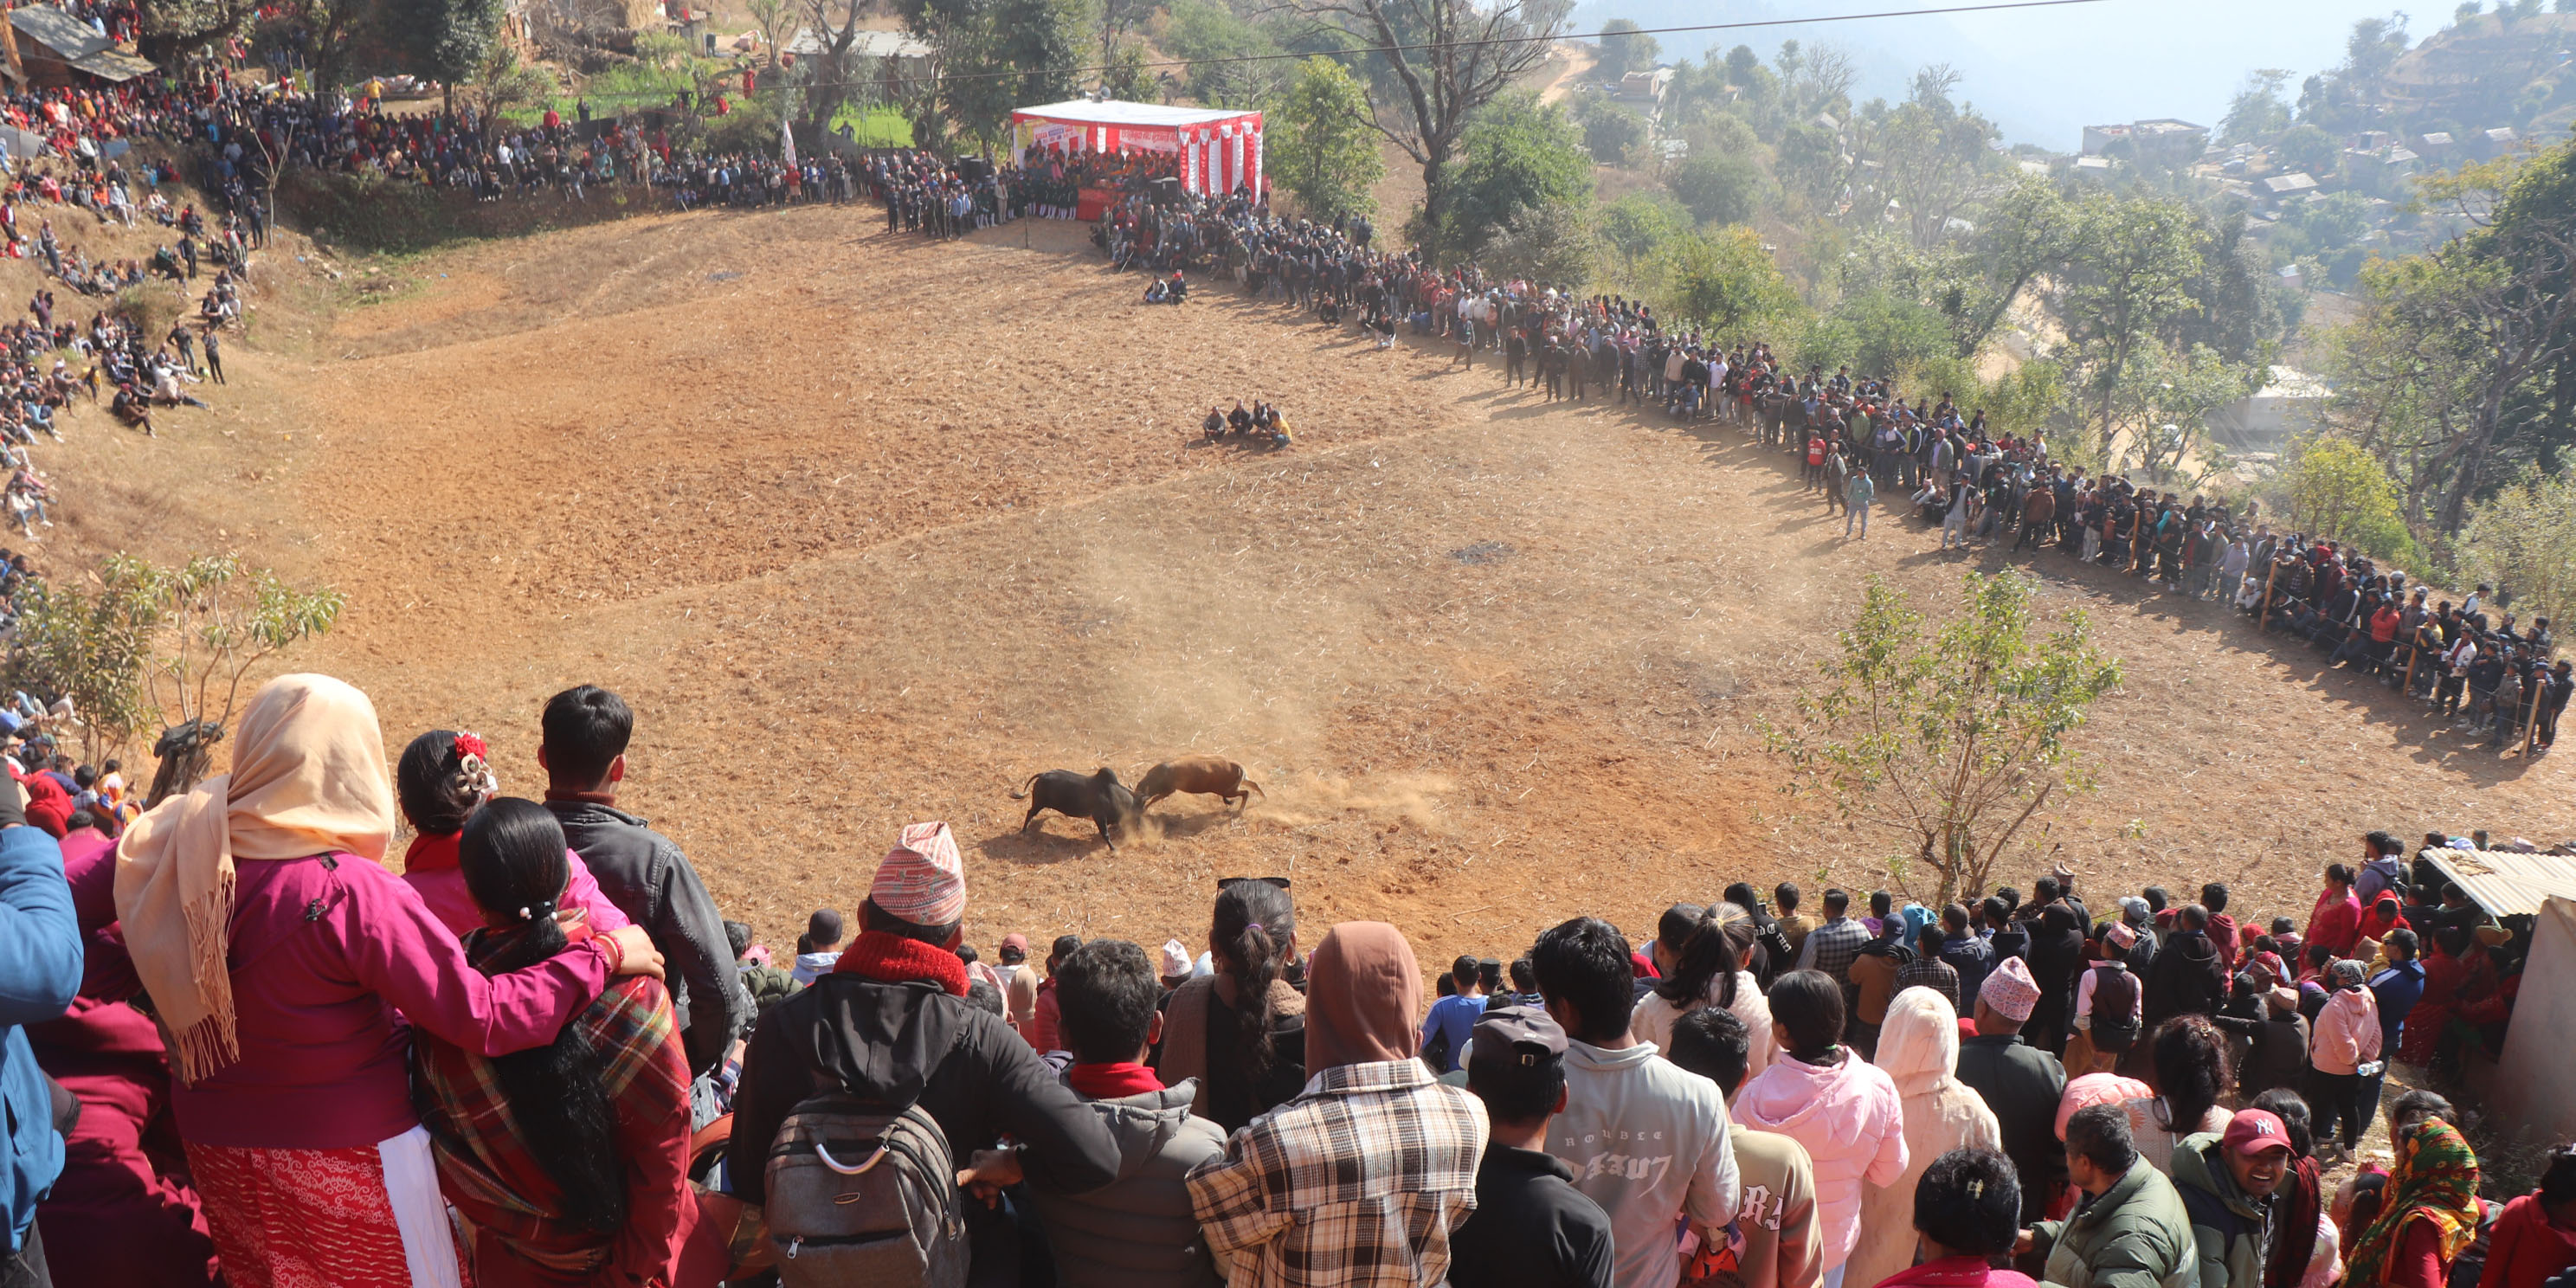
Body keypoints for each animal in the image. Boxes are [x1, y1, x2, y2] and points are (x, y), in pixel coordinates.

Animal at [1138, 751, 1267, 814]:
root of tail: (1238, 767)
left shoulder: (1169, 791)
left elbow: (1155, 798)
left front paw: (1145, 808)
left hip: (1230, 791)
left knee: (1246, 793)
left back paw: (1240, 811)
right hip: (1240, 783)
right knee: (1254, 784)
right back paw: (1264, 798)